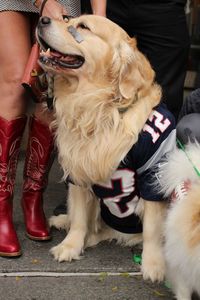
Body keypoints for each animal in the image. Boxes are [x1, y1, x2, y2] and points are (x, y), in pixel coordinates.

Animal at [36, 14, 176, 282]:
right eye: (68, 19)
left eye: (83, 27)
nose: (42, 19)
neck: (99, 107)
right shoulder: (78, 169)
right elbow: (80, 218)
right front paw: (70, 246)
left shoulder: (153, 171)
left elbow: (152, 230)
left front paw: (153, 265)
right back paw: (66, 222)